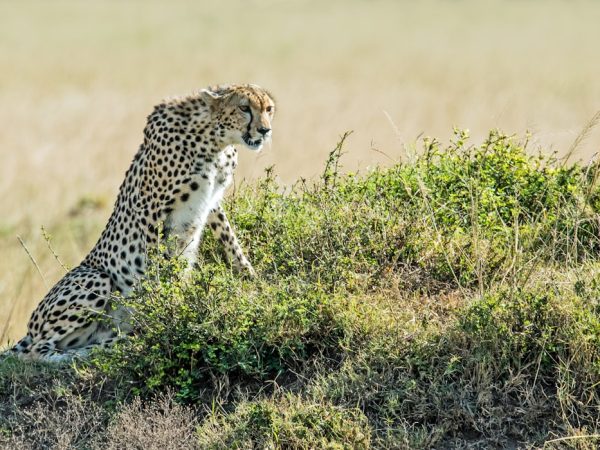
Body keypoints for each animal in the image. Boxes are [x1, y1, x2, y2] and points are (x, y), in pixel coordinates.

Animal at [5, 84, 276, 364]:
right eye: (244, 108)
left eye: (268, 109)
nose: (265, 130)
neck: (215, 139)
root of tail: (30, 330)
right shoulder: (150, 208)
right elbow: (156, 267)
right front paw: (166, 308)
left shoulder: (212, 201)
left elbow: (230, 240)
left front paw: (252, 278)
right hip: (96, 278)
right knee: (36, 351)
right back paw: (93, 352)